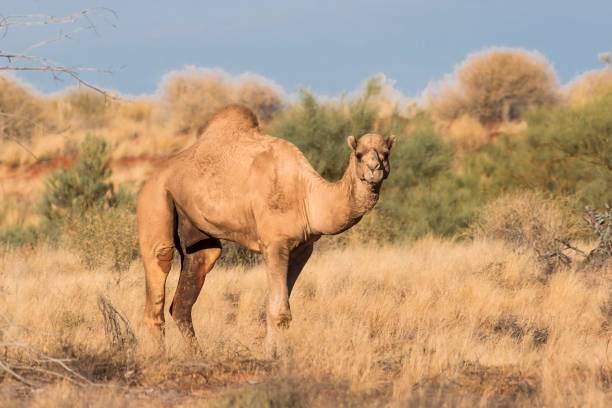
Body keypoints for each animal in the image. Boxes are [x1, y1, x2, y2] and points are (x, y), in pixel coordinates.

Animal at [137, 105, 396, 356]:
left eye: (385, 154)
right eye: (359, 154)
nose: (374, 168)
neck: (307, 196)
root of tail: (151, 179)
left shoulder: (303, 248)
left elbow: (276, 307)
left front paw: (273, 353)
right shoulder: (274, 243)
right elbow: (279, 312)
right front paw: (272, 358)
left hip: (198, 234)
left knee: (188, 290)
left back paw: (199, 357)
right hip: (156, 200)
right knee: (159, 273)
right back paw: (160, 358)